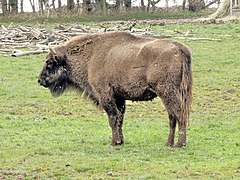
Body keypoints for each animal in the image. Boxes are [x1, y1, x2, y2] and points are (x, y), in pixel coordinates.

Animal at [39, 31, 193, 148]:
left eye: (50, 63)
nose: (40, 80)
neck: (91, 56)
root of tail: (180, 48)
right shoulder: (119, 98)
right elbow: (120, 119)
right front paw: (121, 141)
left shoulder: (106, 95)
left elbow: (113, 117)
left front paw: (115, 142)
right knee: (172, 116)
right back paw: (168, 143)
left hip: (167, 92)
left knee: (179, 114)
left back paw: (180, 143)